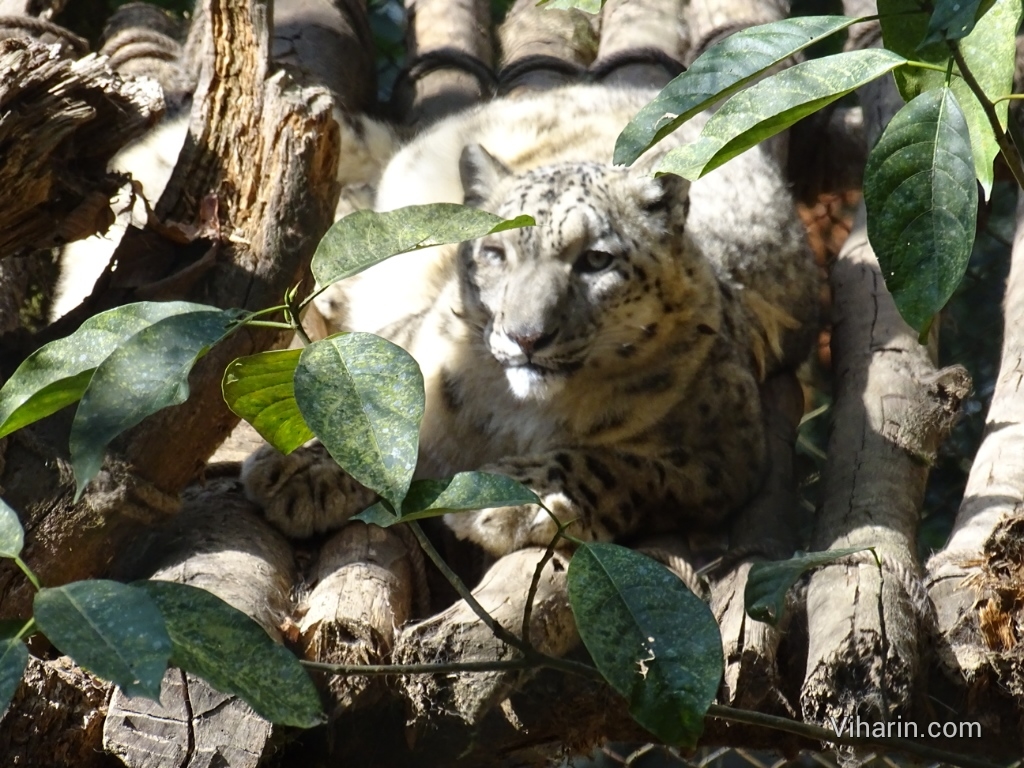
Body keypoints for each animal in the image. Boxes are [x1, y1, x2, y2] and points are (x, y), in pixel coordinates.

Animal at [239, 82, 815, 552]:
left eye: (596, 260)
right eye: (496, 252)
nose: (527, 336)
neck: (515, 410)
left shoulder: (721, 451)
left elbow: (616, 464)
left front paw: (513, 500)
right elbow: (375, 403)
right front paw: (296, 470)